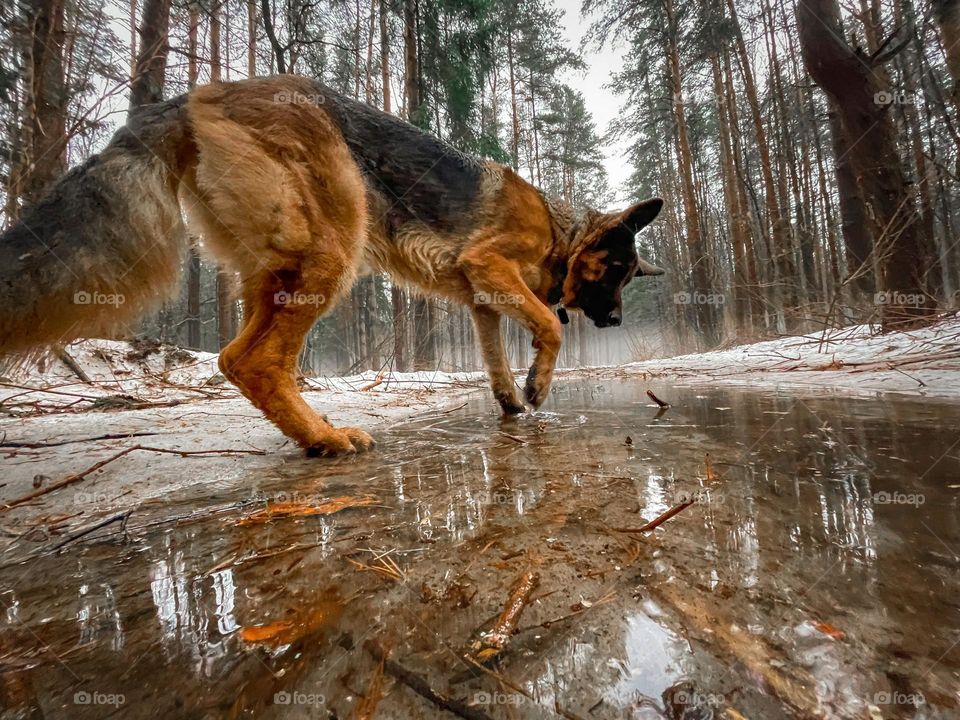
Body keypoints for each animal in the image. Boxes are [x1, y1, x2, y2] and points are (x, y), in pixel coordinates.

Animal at [0, 77, 664, 456]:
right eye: (614, 271)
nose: (613, 324)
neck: (559, 229)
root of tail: (185, 99)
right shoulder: (491, 266)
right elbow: (548, 326)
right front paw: (539, 385)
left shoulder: (481, 301)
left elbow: (497, 357)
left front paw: (511, 401)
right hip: (332, 255)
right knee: (259, 362)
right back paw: (324, 438)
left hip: (276, 276)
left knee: (233, 358)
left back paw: (310, 432)